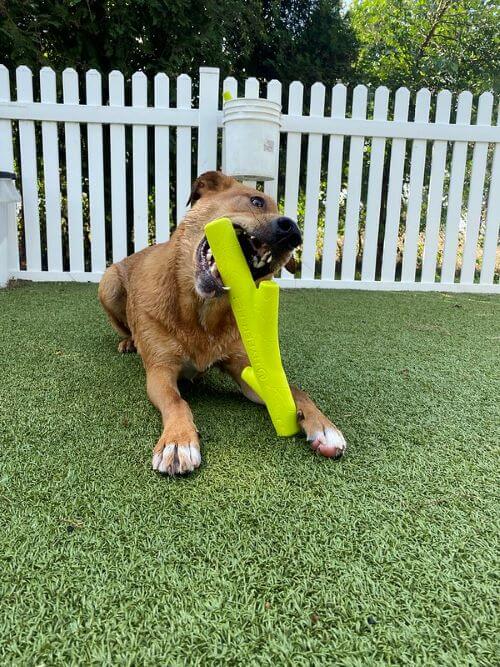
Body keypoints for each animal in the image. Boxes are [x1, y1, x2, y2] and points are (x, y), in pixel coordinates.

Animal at [99, 172, 346, 474]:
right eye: (256, 201)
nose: (293, 233)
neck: (200, 314)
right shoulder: (159, 371)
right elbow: (176, 401)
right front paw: (178, 441)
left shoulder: (244, 369)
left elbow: (295, 390)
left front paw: (323, 425)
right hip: (109, 284)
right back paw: (128, 342)